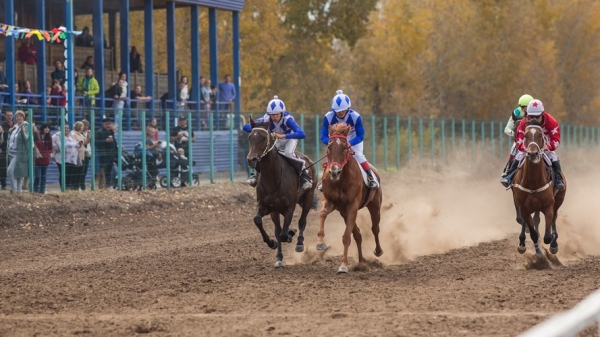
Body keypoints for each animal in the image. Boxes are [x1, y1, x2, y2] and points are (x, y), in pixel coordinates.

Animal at [245, 118, 318, 268]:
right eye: (250, 137)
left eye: (263, 138)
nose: (251, 159)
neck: (273, 177)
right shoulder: (268, 207)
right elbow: (262, 223)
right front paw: (274, 248)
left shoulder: (289, 207)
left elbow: (284, 234)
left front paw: (290, 234)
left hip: (308, 196)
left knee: (302, 221)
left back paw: (299, 243)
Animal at [316, 122, 382, 272]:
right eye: (329, 147)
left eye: (345, 147)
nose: (334, 172)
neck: (340, 180)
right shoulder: (330, 201)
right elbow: (322, 213)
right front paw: (320, 243)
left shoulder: (352, 205)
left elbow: (346, 237)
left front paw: (343, 265)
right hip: (344, 212)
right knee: (358, 234)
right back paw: (362, 262)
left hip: (375, 206)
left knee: (375, 228)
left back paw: (378, 251)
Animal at [510, 122, 568, 253]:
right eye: (525, 135)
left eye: (540, 135)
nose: (533, 154)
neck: (533, 182)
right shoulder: (523, 207)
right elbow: (532, 232)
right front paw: (526, 245)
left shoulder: (549, 205)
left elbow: (547, 236)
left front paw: (552, 244)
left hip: (558, 200)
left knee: (554, 218)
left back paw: (554, 243)